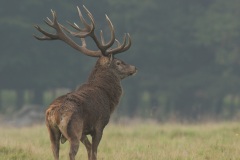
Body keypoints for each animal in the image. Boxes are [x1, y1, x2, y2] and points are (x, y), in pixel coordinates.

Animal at [33, 5, 137, 160]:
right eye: (118, 62)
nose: (134, 67)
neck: (109, 98)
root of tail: (54, 113)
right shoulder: (99, 125)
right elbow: (94, 152)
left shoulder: (84, 131)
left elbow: (88, 149)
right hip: (73, 129)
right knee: (71, 152)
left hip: (51, 132)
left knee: (55, 151)